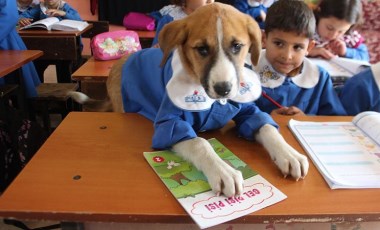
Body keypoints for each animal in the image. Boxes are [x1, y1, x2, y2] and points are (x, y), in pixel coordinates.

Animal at [70, 2, 308, 197]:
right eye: (201, 49)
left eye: (237, 46)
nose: (224, 90)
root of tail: (122, 60)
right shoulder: (169, 124)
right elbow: (199, 142)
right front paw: (223, 170)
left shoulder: (248, 110)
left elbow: (266, 127)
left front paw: (289, 153)